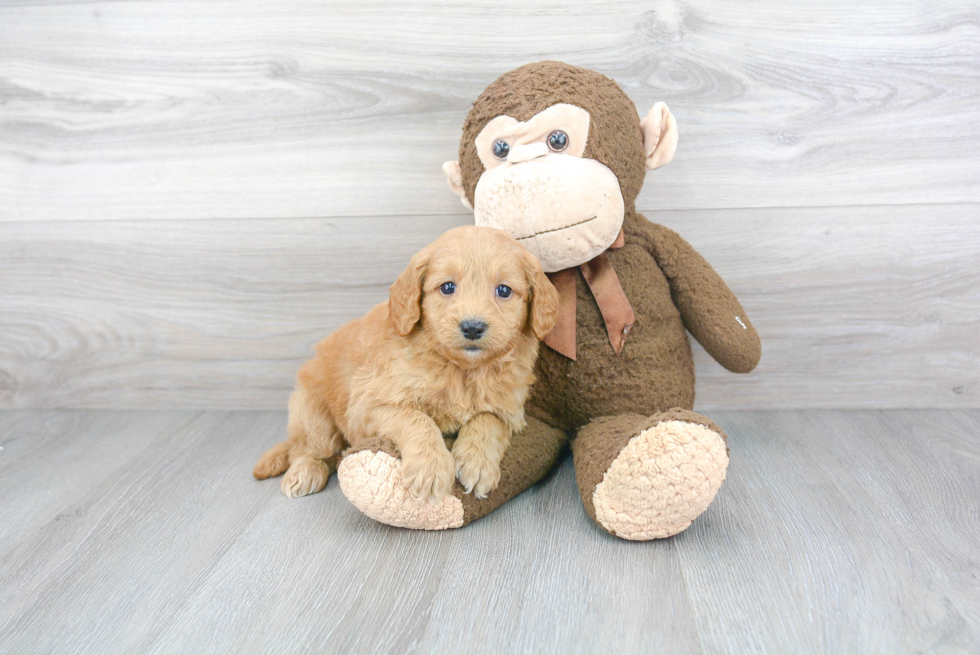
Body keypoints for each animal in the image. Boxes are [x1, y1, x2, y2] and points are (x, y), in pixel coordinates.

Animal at [253, 228, 560, 504]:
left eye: (504, 291)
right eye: (448, 287)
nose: (472, 327)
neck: (460, 370)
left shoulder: (511, 411)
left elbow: (488, 419)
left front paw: (477, 463)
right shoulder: (367, 406)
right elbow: (416, 419)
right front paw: (430, 469)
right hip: (312, 411)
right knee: (309, 449)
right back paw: (304, 472)